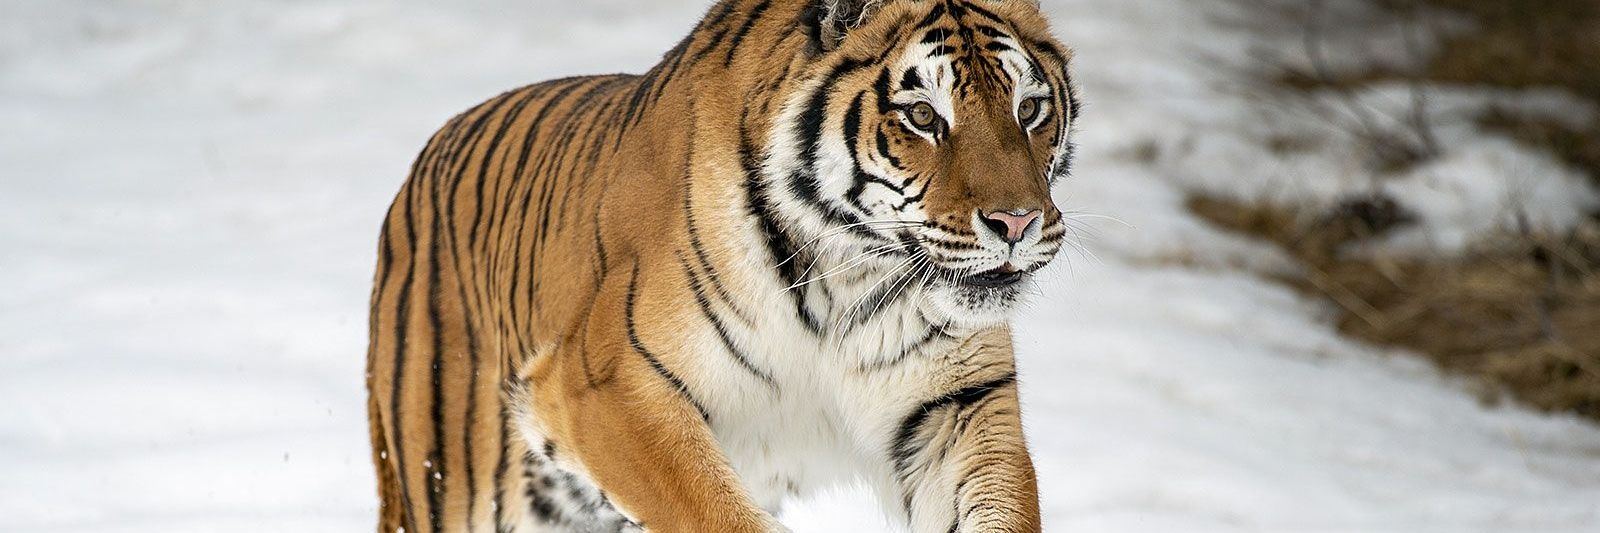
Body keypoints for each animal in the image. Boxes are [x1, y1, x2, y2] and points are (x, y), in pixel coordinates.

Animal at [366, 0, 1079, 531]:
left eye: (1029, 109)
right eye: (924, 116)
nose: (1017, 223)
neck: (845, 272)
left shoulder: (956, 406)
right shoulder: (608, 385)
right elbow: (716, 514)